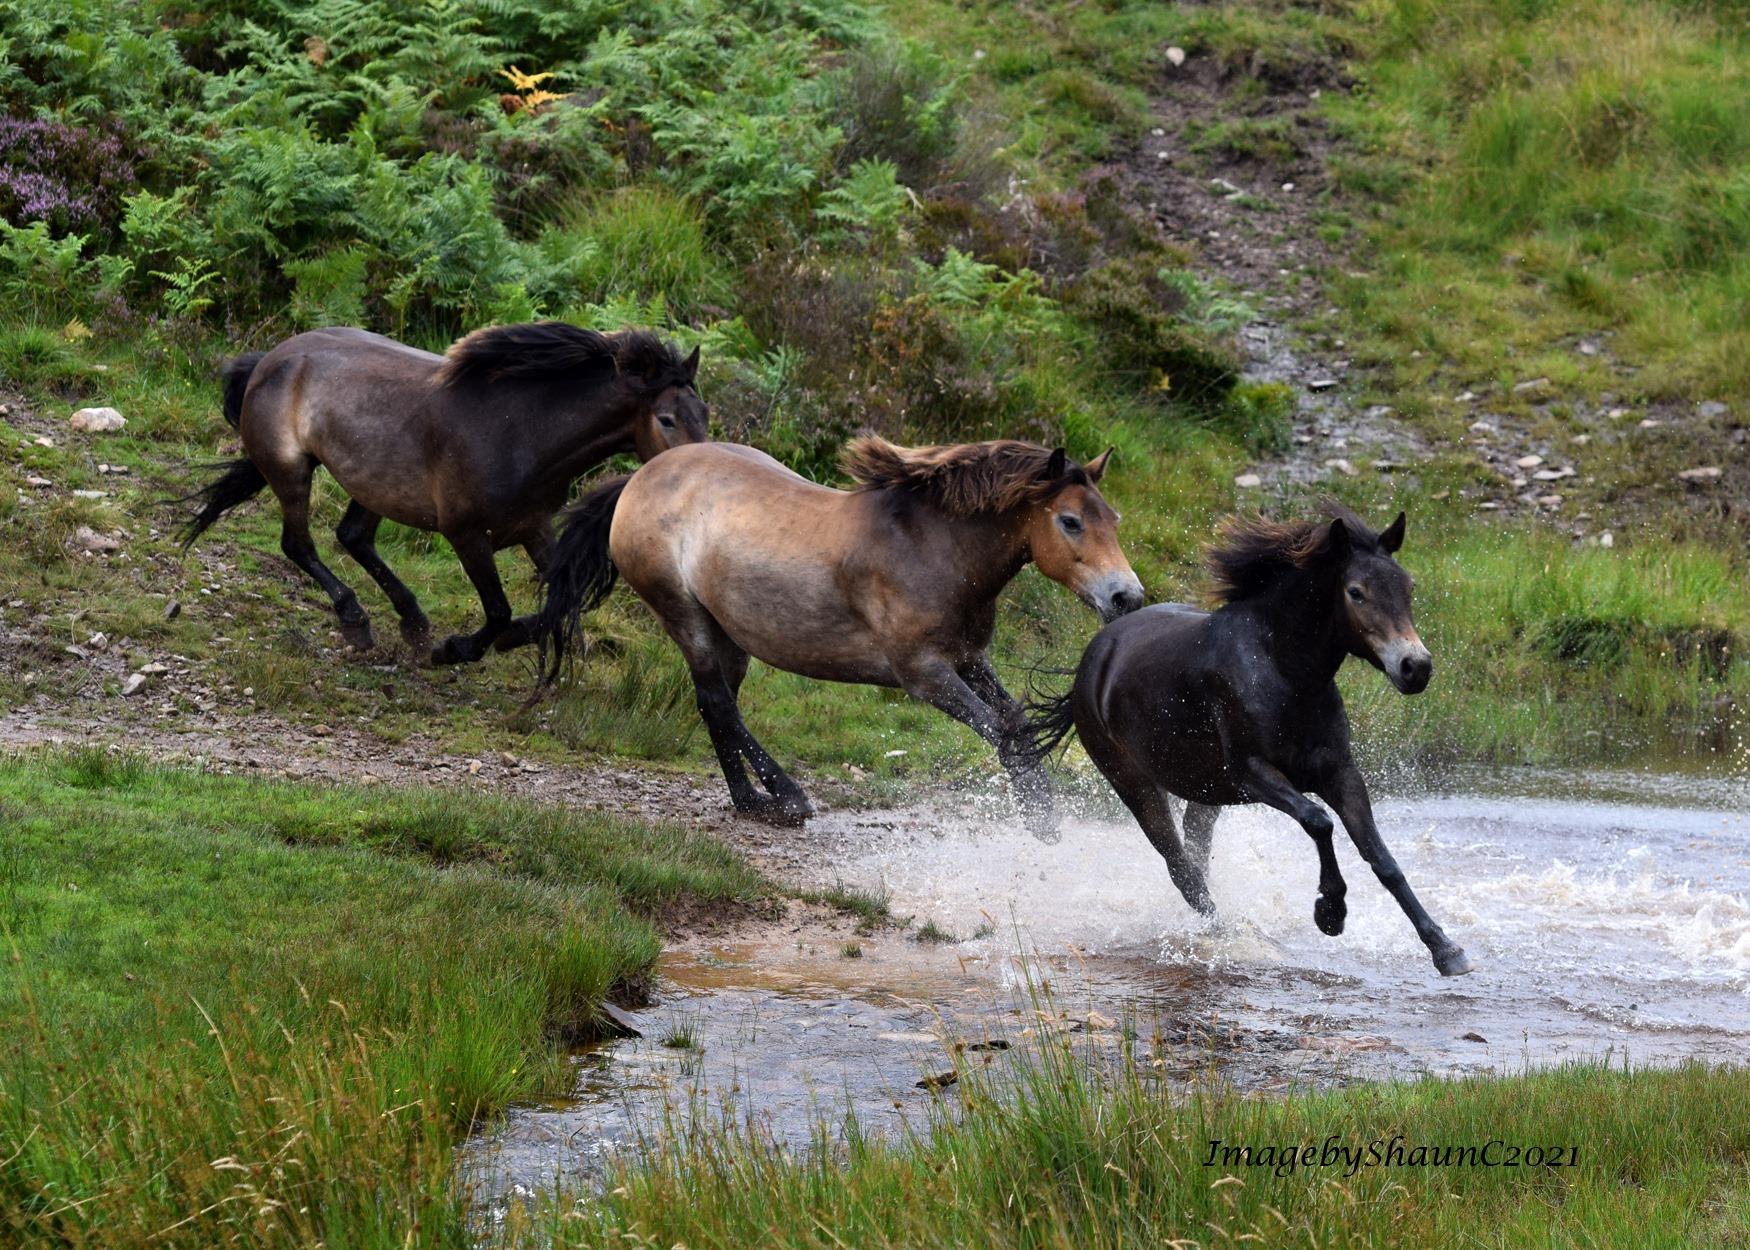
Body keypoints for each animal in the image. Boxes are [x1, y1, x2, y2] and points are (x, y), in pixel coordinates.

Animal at [178, 322, 710, 665]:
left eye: (703, 412)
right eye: (666, 418)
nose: (699, 474)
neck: (525, 432)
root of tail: (271, 358)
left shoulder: (534, 529)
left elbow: (566, 604)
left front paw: (503, 640)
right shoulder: (466, 535)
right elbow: (499, 611)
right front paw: (455, 650)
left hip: (373, 485)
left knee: (353, 537)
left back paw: (412, 621)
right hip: (291, 470)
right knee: (299, 544)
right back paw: (357, 621)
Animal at [537, 438, 1145, 832]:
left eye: (1113, 518)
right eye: (1070, 521)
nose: (1127, 598)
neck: (935, 551)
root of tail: (636, 481)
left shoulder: (969, 660)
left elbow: (1014, 722)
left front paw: (1041, 806)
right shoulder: (923, 675)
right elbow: (999, 729)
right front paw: (1037, 815)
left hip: (728, 634)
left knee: (716, 706)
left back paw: (750, 800)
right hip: (686, 618)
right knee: (719, 703)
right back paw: (786, 798)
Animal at [1028, 505, 1473, 977]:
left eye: (1408, 587)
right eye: (1356, 592)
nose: (1415, 667)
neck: (1287, 673)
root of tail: (1091, 661)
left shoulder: (1340, 774)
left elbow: (1382, 859)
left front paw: (1445, 949)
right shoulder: (1252, 773)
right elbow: (1318, 821)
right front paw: (1330, 913)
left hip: (1204, 793)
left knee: (1196, 856)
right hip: (1136, 786)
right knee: (1181, 869)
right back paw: (1226, 934)